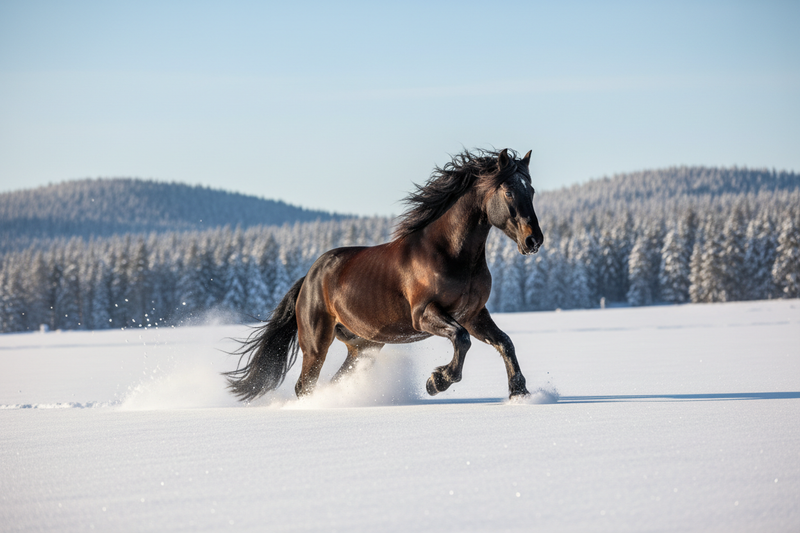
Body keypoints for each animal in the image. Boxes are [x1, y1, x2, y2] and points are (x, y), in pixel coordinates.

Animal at [225, 148, 544, 401]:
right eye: (509, 191)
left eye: (531, 191)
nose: (534, 240)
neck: (450, 254)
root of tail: (310, 278)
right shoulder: (424, 314)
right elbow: (462, 339)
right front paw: (436, 382)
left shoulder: (473, 314)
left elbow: (504, 342)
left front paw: (520, 393)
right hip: (316, 343)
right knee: (305, 385)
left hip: (363, 346)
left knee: (333, 380)